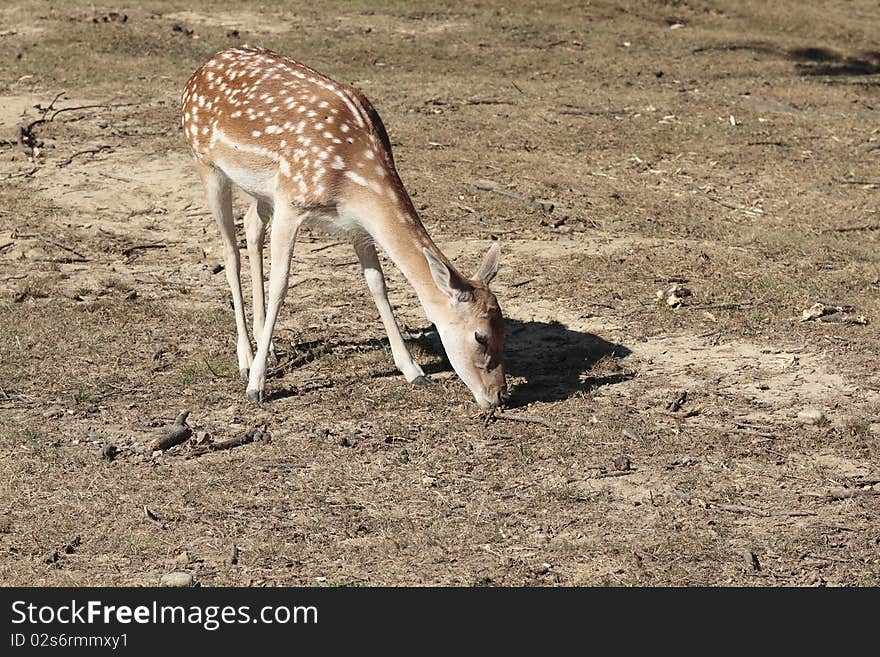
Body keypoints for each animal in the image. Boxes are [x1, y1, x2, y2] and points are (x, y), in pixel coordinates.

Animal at [180, 47, 508, 410]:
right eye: (480, 336)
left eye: (505, 330)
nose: (499, 395)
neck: (352, 178)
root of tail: (202, 67)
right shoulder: (292, 202)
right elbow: (281, 285)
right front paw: (256, 387)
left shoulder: (356, 225)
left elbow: (378, 285)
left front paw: (414, 371)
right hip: (206, 163)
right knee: (229, 251)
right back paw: (245, 360)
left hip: (262, 189)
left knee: (251, 226)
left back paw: (271, 347)